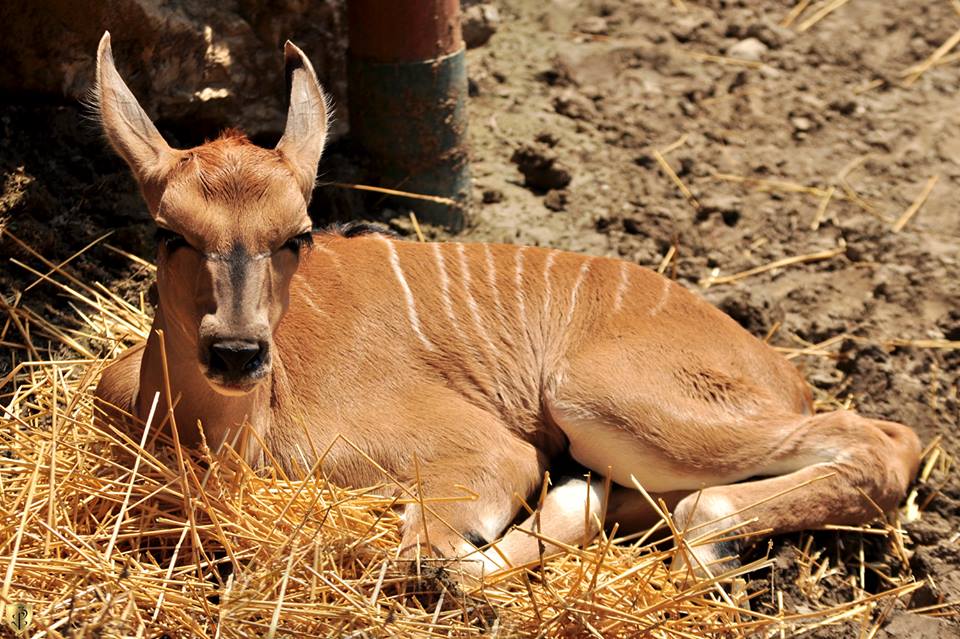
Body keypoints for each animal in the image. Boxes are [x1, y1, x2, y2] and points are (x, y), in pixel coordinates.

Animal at [92, 32, 924, 576]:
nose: (236, 351)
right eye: (167, 231)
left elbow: (422, 560)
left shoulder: (484, 452)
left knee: (878, 441)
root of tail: (783, 373)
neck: (239, 426)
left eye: (298, 234)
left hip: (607, 398)